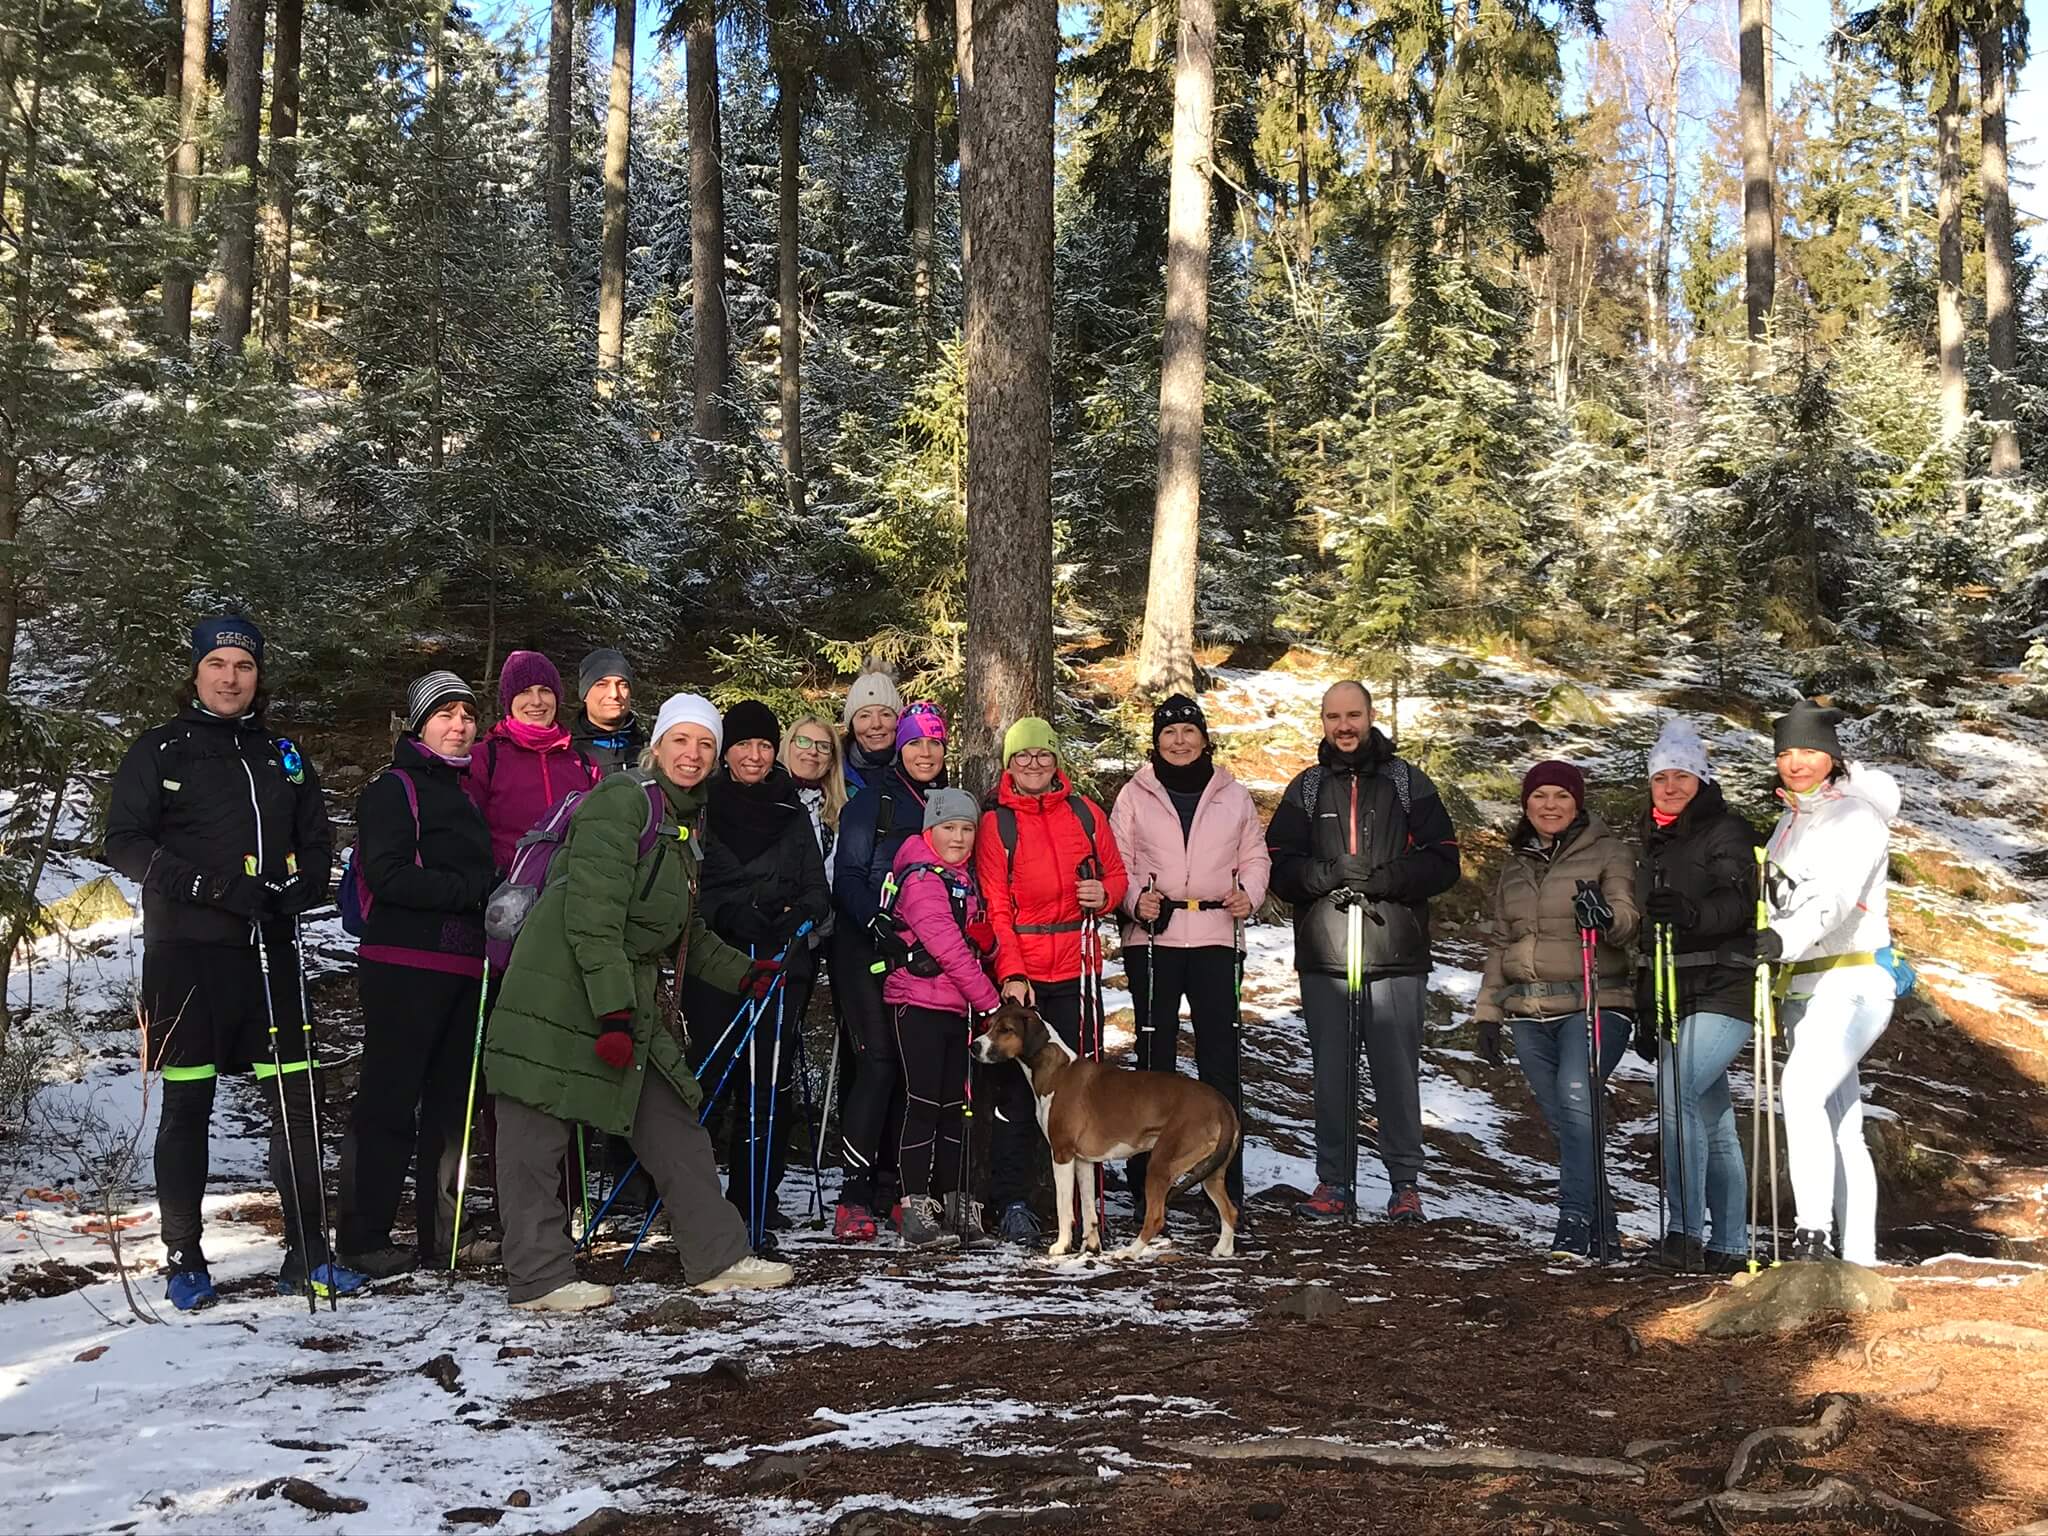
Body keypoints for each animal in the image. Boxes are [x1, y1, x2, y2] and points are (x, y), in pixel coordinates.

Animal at [970, 999, 1236, 1261]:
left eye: (1006, 1030)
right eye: (989, 1025)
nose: (974, 1046)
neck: (1056, 1071)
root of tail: (1223, 1104)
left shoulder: (1062, 1155)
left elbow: (1064, 1207)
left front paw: (1062, 1245)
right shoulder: (1084, 1161)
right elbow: (1089, 1209)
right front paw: (1091, 1246)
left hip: (1161, 1164)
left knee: (1156, 1218)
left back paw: (1129, 1252)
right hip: (1209, 1171)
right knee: (1230, 1211)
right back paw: (1223, 1249)